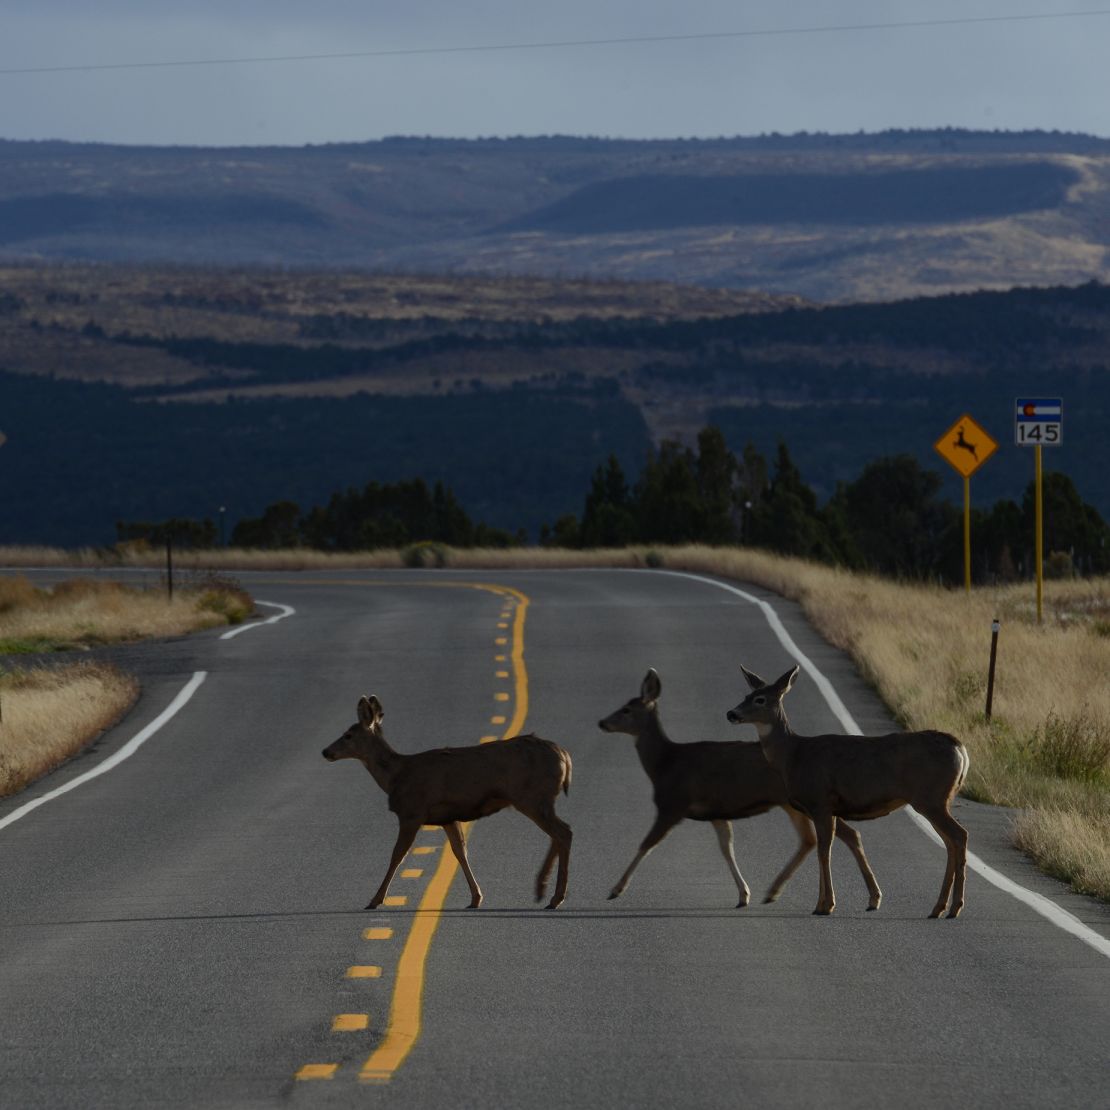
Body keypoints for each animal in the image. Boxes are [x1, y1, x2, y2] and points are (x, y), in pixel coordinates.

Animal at [321, 692, 572, 910]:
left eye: (348, 735)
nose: (325, 751)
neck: (396, 776)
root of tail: (564, 755)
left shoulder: (412, 812)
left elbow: (397, 856)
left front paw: (375, 899)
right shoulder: (448, 817)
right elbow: (460, 851)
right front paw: (476, 897)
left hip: (532, 796)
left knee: (564, 832)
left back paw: (555, 897)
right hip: (539, 799)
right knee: (558, 833)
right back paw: (542, 889)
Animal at [594, 666, 879, 910]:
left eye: (626, 709)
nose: (602, 723)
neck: (664, 764)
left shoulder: (672, 804)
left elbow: (646, 844)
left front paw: (615, 889)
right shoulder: (716, 811)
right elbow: (726, 848)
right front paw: (744, 894)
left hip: (808, 801)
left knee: (841, 835)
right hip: (798, 804)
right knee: (815, 838)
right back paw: (776, 892)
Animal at [723, 666, 967, 919]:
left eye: (760, 699)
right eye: (746, 696)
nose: (731, 713)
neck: (793, 756)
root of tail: (959, 748)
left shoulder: (820, 801)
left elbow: (824, 850)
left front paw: (826, 905)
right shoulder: (827, 808)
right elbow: (832, 845)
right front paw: (826, 902)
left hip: (931, 798)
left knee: (959, 835)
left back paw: (954, 907)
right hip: (939, 799)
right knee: (950, 841)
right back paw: (940, 907)